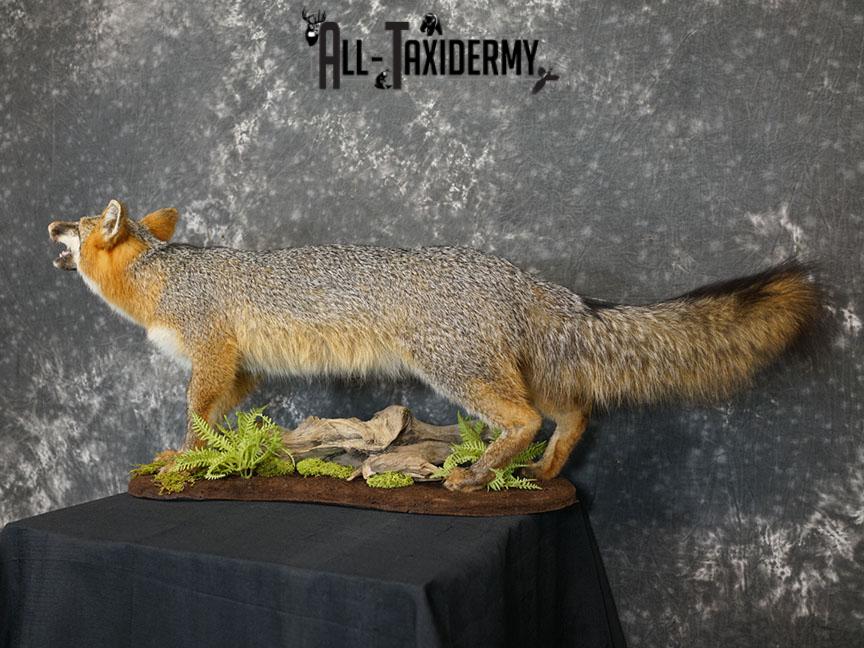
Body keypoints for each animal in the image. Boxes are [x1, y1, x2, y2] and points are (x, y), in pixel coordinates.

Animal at [49, 199, 822, 491]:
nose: (50, 222)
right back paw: (542, 473)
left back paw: (477, 475)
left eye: (79, 224)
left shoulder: (210, 354)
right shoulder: (241, 370)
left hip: (458, 374)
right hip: (508, 372)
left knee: (527, 419)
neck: (163, 277)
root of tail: (520, 274)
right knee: (573, 415)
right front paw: (208, 454)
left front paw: (182, 459)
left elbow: (194, 415)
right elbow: (221, 417)